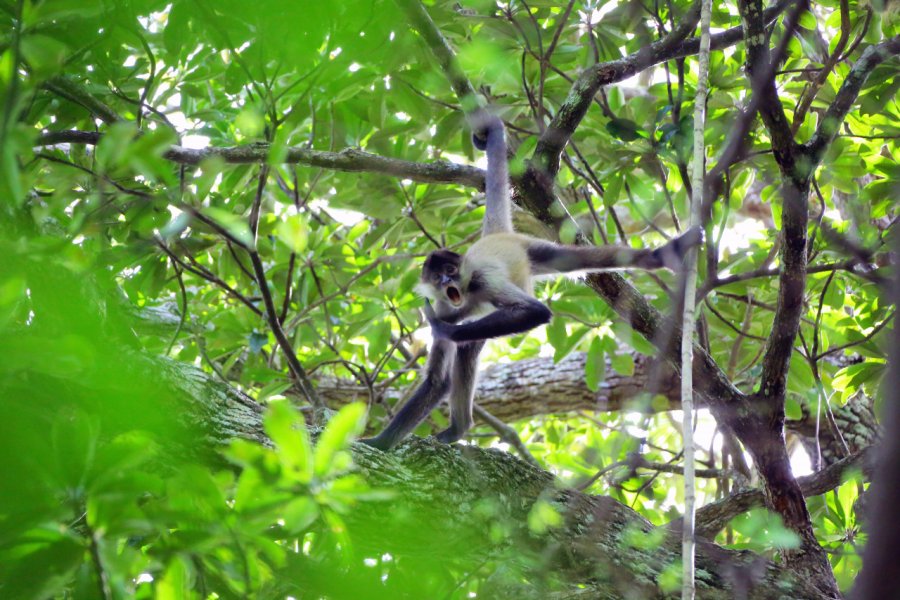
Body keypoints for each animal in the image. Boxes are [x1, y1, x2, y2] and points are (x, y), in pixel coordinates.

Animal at [360, 112, 704, 450]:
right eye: (437, 276)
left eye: (451, 270)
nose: (447, 280)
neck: (467, 295)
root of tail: (496, 234)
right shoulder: (446, 304)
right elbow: (437, 380)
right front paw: (380, 442)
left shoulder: (481, 280)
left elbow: (534, 311)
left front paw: (445, 330)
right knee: (469, 349)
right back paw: (459, 429)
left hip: (530, 248)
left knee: (571, 261)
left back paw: (660, 256)